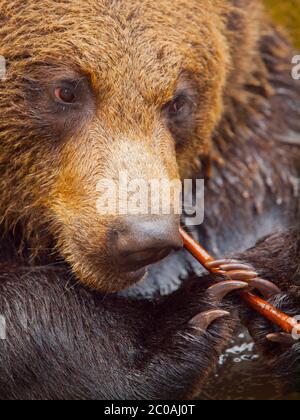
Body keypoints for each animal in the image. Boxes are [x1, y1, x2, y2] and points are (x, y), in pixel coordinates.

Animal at [0, 0, 298, 400]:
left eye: (178, 101)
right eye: (66, 90)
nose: (143, 238)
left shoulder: (255, 169)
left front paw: (277, 277)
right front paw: (185, 318)